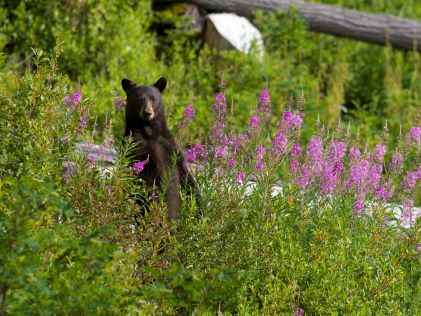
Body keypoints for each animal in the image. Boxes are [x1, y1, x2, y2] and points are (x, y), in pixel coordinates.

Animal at [120, 76, 195, 220]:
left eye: (153, 99)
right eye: (140, 99)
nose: (147, 113)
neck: (150, 133)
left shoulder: (170, 145)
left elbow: (184, 173)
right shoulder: (135, 146)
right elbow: (141, 174)